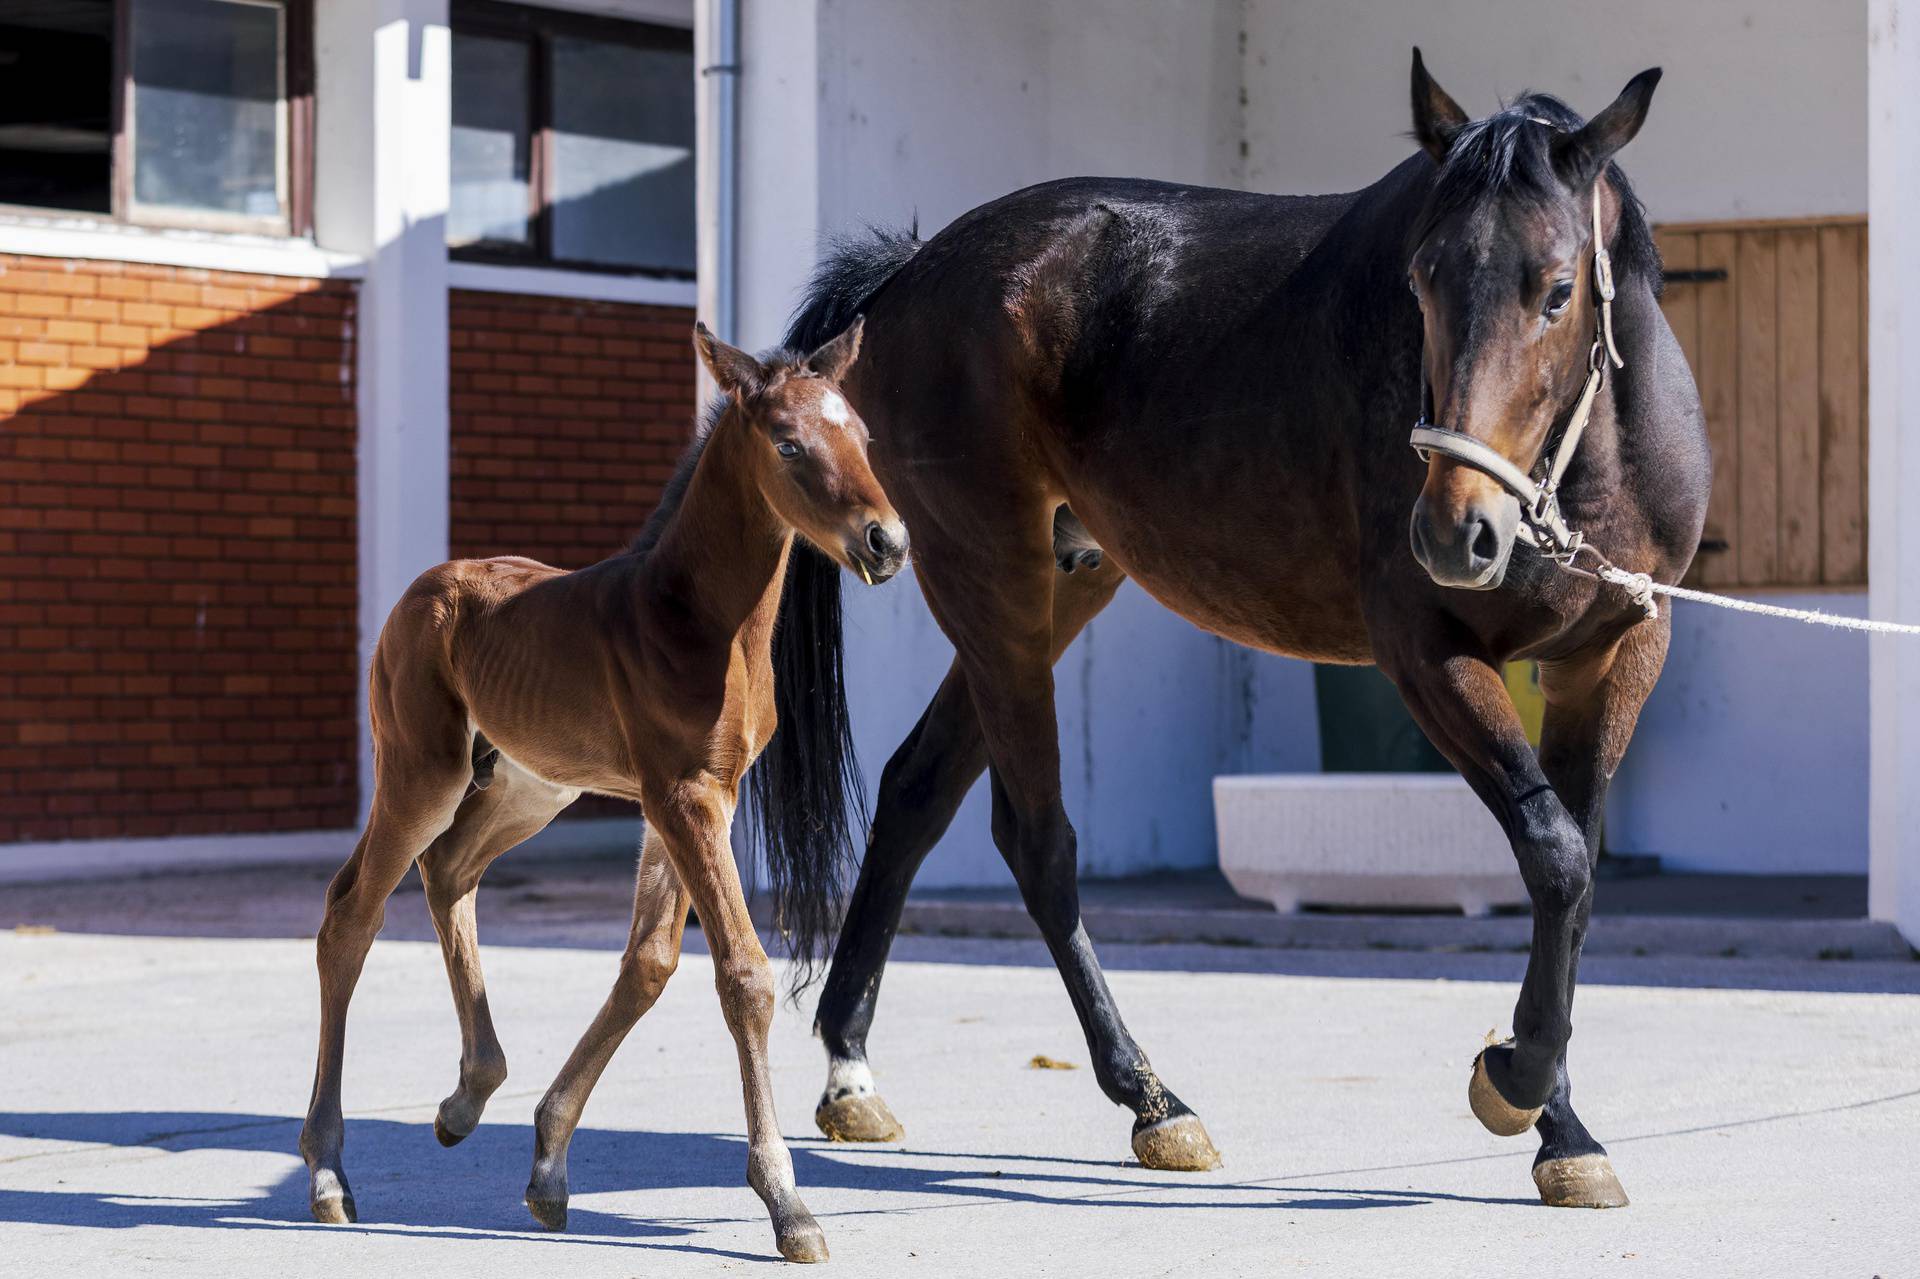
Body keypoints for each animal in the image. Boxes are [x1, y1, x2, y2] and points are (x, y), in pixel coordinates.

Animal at [293, 316, 906, 1252]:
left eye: (865, 438)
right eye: (788, 442)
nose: (887, 542)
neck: (697, 619)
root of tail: (418, 593)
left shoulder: (695, 798)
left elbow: (649, 963)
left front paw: (548, 1164)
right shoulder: (684, 795)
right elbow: (744, 975)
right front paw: (786, 1202)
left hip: (529, 784)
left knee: (450, 872)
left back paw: (467, 1097)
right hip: (422, 770)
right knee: (351, 913)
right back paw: (329, 1171)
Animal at [752, 52, 1712, 1206]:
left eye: (1558, 289)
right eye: (1423, 279)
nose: (1453, 531)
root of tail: (908, 274)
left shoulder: (1613, 655)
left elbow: (1572, 870)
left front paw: (1561, 1125)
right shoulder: (1426, 651)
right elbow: (1555, 854)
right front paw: (1514, 1082)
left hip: (1062, 587)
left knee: (915, 790)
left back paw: (852, 1067)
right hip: (992, 584)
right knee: (1036, 840)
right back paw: (1152, 1099)